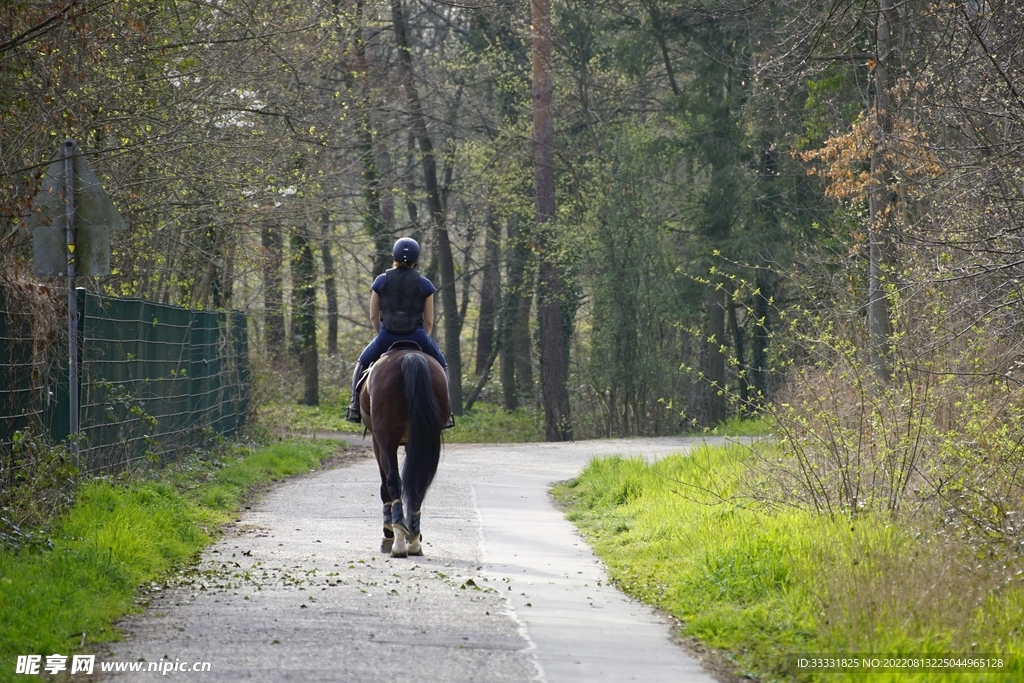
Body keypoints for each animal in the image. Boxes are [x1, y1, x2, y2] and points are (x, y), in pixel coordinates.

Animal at [359, 346, 449, 558]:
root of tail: (410, 356)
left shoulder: (377, 443)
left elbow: (385, 487)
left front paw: (387, 534)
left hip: (386, 438)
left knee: (393, 481)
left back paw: (398, 539)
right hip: (422, 439)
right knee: (419, 484)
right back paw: (414, 539)